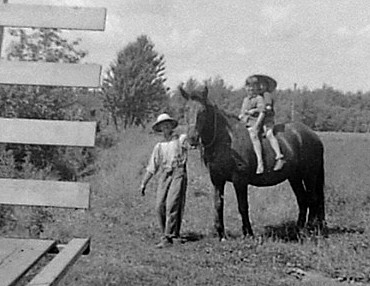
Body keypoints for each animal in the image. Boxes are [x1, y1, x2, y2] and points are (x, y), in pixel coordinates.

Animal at [181, 87, 326, 239]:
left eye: (202, 111)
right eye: (185, 109)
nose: (192, 138)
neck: (226, 141)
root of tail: (313, 135)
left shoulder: (240, 180)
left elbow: (243, 206)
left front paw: (248, 233)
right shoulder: (217, 179)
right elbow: (218, 204)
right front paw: (221, 233)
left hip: (309, 176)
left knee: (312, 199)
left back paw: (309, 230)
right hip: (294, 177)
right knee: (303, 200)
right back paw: (298, 230)